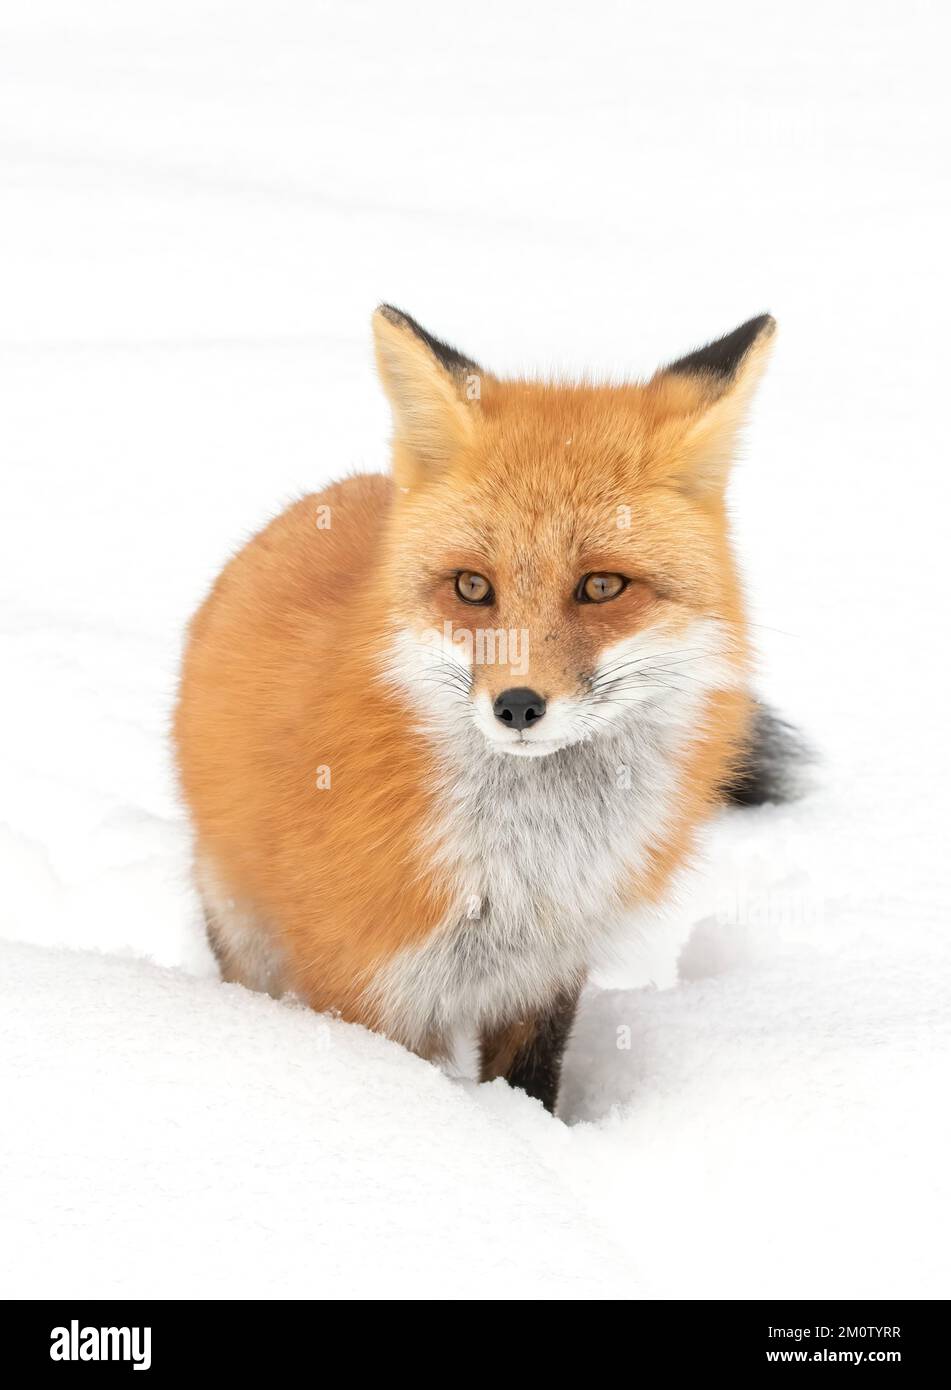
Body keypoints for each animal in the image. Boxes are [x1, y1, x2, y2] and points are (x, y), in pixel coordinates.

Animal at [174, 304, 793, 1114]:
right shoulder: (367, 982)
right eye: (472, 587)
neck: (524, 863)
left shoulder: (543, 978)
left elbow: (531, 1087)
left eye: (601, 587)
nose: (518, 706)